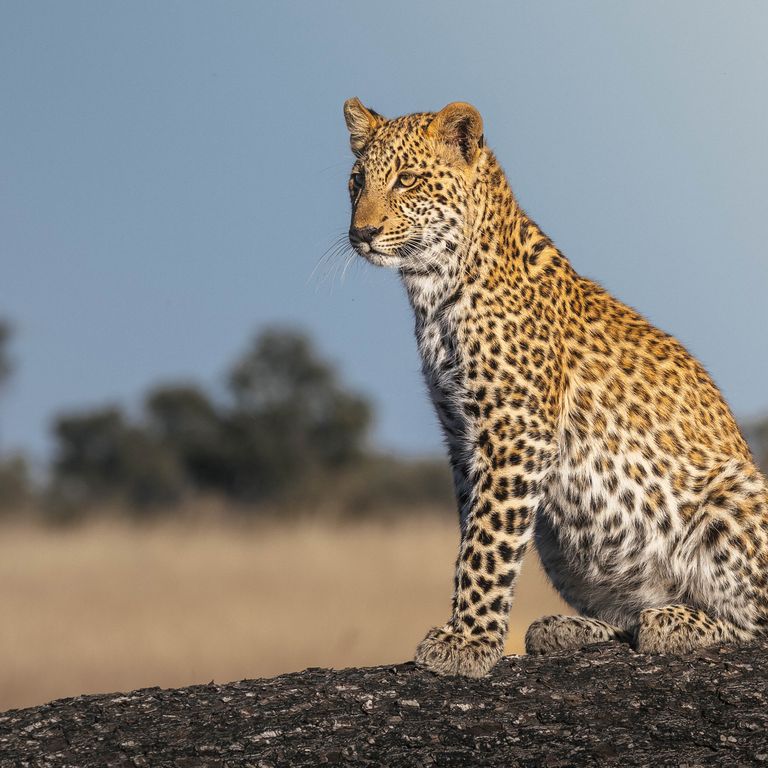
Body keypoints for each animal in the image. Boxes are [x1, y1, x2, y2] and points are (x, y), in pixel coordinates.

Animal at [343, 97, 768, 677]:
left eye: (407, 180)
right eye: (356, 182)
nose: (361, 233)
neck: (434, 291)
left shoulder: (516, 434)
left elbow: (488, 544)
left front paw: (467, 643)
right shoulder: (463, 439)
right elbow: (474, 532)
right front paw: (469, 631)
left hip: (731, 494)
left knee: (751, 625)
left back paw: (672, 622)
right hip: (560, 543)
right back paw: (570, 629)